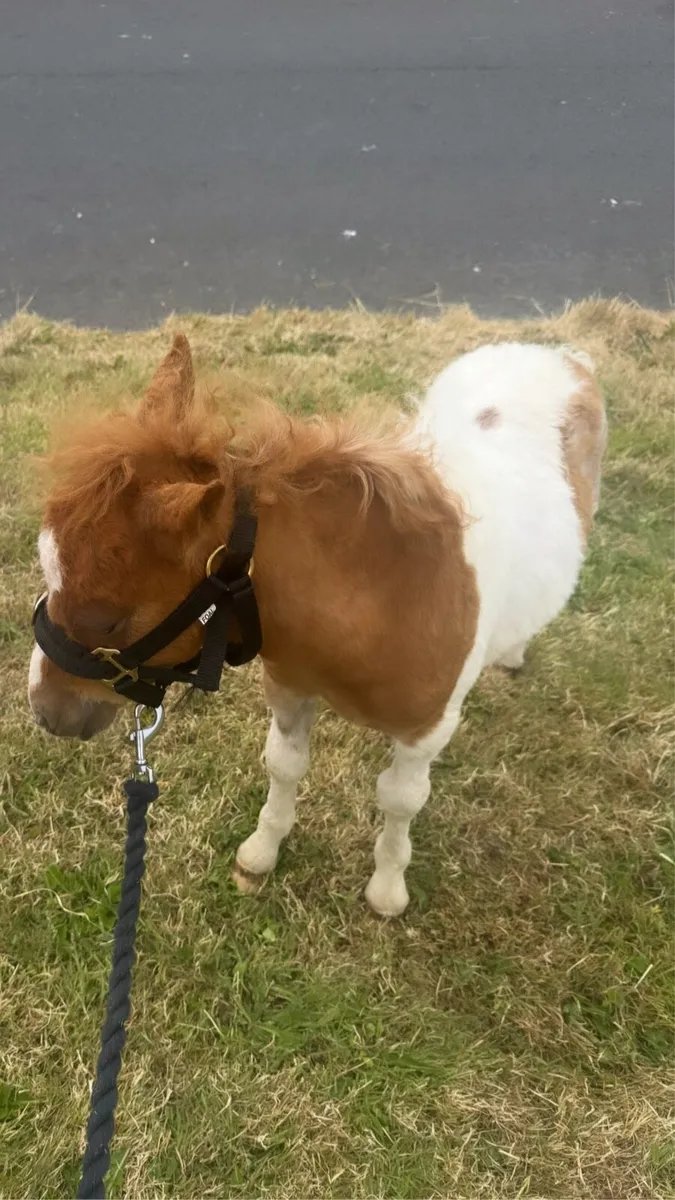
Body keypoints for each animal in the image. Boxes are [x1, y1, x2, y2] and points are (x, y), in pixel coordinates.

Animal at [28, 333, 607, 915]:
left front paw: (387, 889)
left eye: (107, 621)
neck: (383, 599)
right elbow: (284, 764)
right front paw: (259, 856)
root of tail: (557, 354)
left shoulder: (427, 731)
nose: (44, 709)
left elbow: (400, 799)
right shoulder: (288, 689)